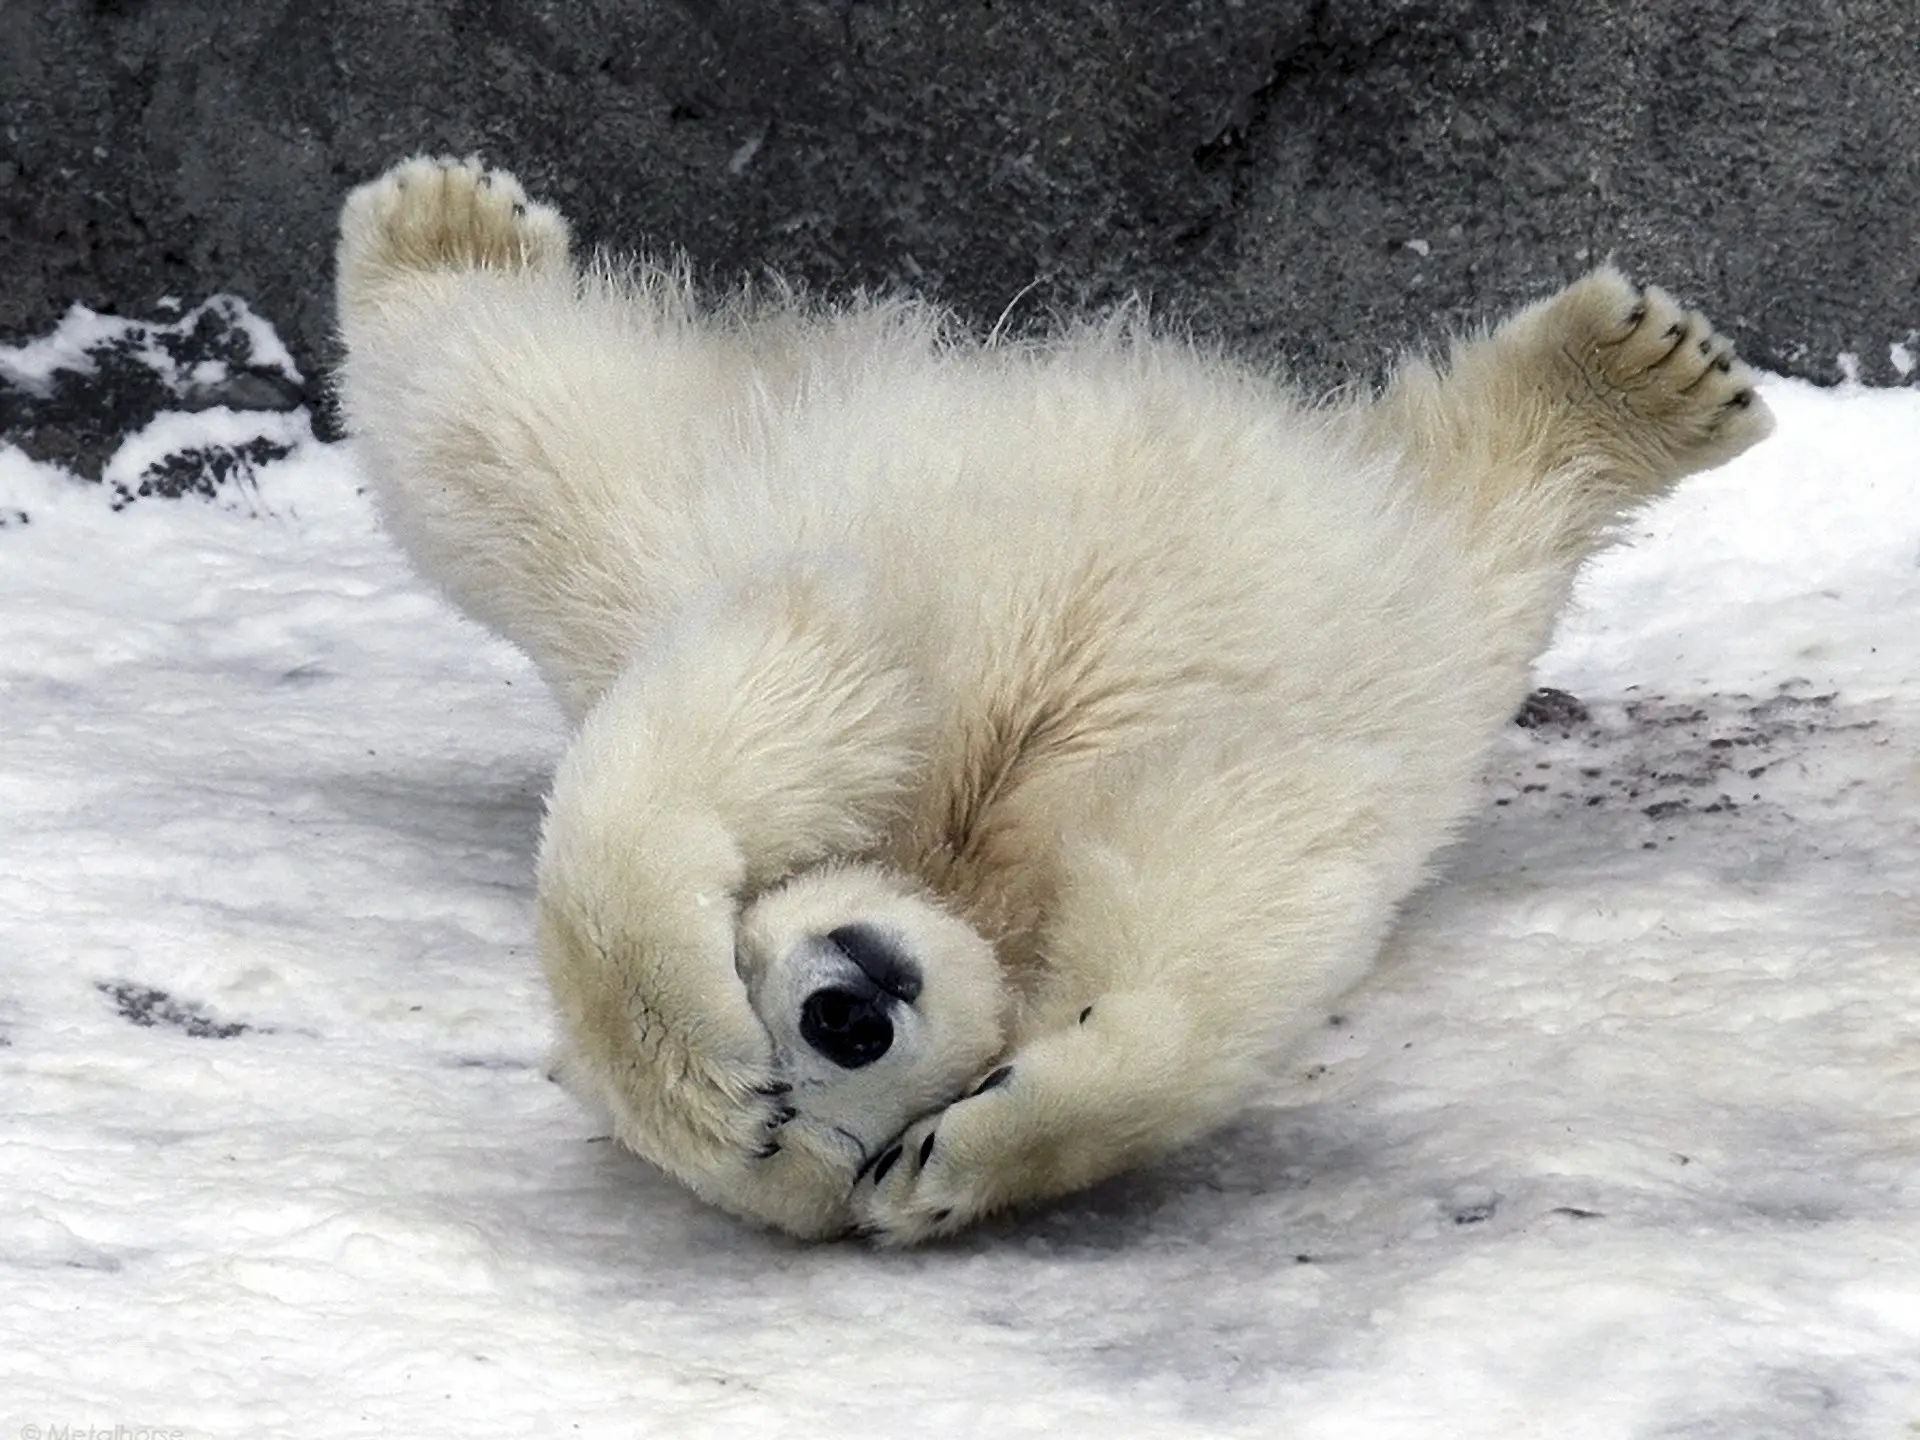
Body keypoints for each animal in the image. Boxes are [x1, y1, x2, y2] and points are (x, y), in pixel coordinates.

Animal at [334, 156, 1772, 1245]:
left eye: (753, 983)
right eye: (829, 1139)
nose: (848, 1007)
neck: (959, 861)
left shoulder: (868, 664)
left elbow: (770, 711)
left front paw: (689, 1040)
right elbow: (1228, 876)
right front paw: (995, 1144)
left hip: (703, 509)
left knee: (519, 445)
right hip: (1414, 628)